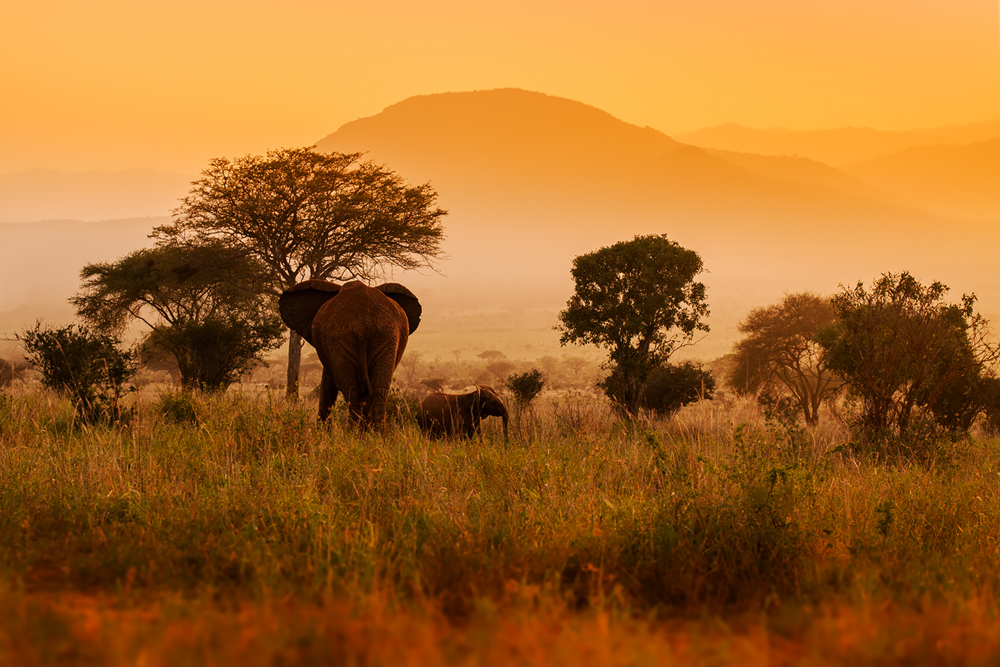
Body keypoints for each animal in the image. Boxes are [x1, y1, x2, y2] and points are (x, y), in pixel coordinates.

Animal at [280, 280, 420, 428]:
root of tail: (363, 326)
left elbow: (328, 385)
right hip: (382, 337)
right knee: (377, 389)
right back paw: (372, 432)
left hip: (351, 338)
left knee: (354, 391)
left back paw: (357, 431)